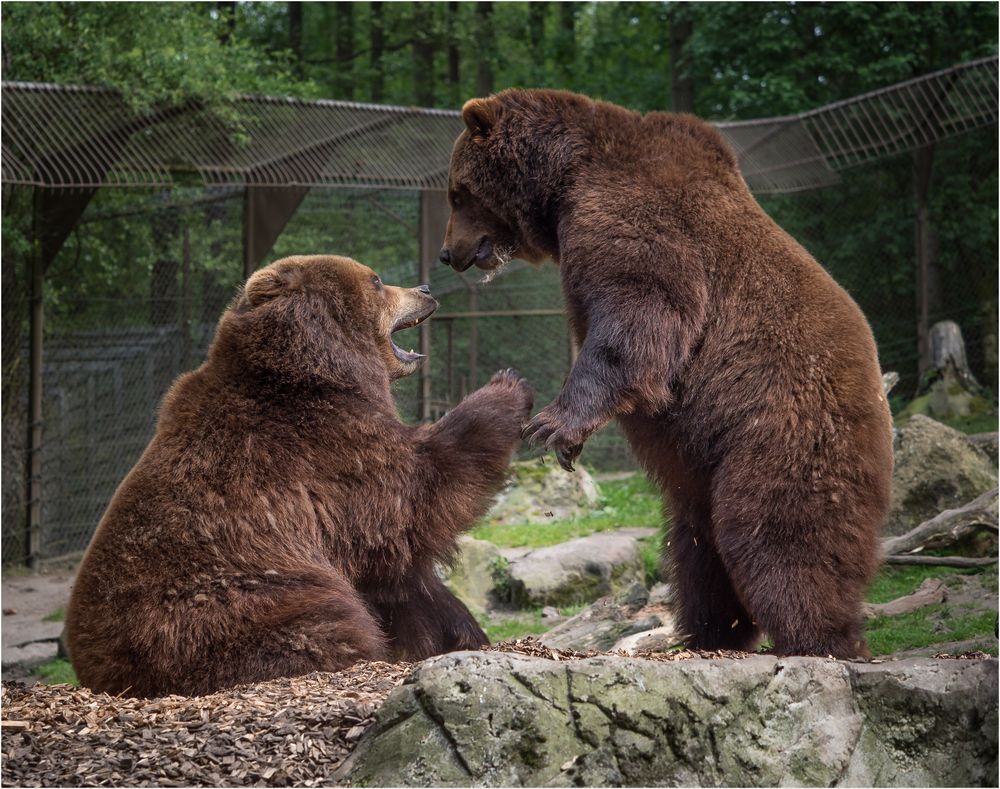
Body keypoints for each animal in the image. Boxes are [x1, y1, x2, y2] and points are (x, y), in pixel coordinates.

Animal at [67, 254, 536, 696]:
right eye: (377, 280)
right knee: (319, 625)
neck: (317, 365)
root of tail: (100, 676)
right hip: (237, 598)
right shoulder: (323, 449)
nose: (424, 288)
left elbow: (400, 581)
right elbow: (418, 493)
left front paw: (458, 630)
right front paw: (508, 386)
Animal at [442, 87, 896, 660]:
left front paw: (551, 426)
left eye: (457, 193)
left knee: (778, 531)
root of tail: (881, 402)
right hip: (705, 466)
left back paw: (820, 636)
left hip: (784, 428)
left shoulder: (633, 218)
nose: (448, 253)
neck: (565, 179)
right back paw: (707, 630)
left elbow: (639, 310)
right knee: (697, 544)